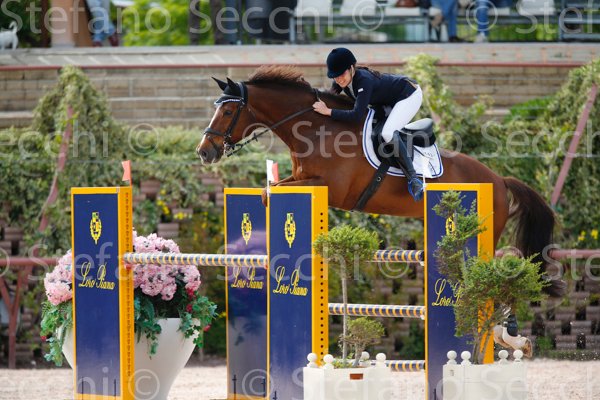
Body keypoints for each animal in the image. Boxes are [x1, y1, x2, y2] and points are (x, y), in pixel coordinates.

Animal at [196, 65, 565, 298]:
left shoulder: (329, 188)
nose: (204, 152)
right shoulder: (301, 178)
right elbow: (267, 190)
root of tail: (499, 179)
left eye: (227, 112)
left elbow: (271, 190)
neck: (315, 128)